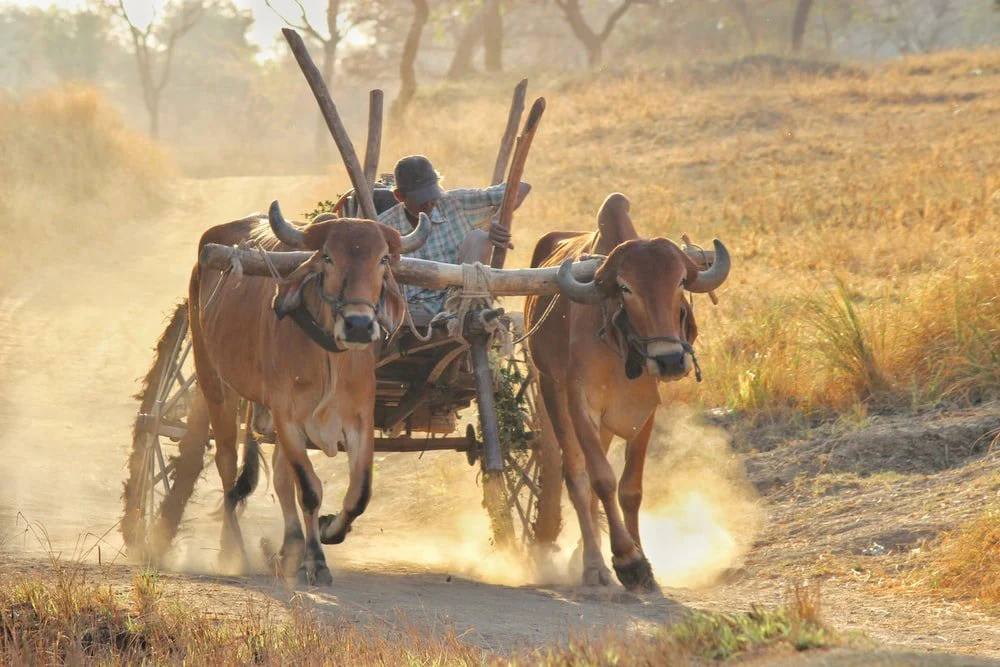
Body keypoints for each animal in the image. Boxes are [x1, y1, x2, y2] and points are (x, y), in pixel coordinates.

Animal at [188, 201, 429, 584]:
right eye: (328, 256)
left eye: (383, 259)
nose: (359, 325)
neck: (330, 356)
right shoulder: (287, 418)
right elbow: (310, 490)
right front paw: (315, 560)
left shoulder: (360, 420)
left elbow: (359, 493)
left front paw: (329, 530)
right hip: (215, 381)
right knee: (227, 468)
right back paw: (233, 550)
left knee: (279, 477)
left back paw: (289, 547)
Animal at [524, 193, 731, 592]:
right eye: (625, 287)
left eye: (679, 282)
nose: (670, 360)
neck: (619, 347)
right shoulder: (579, 404)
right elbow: (600, 479)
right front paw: (626, 560)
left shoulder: (645, 411)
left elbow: (630, 489)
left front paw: (644, 562)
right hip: (548, 389)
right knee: (576, 476)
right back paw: (592, 564)